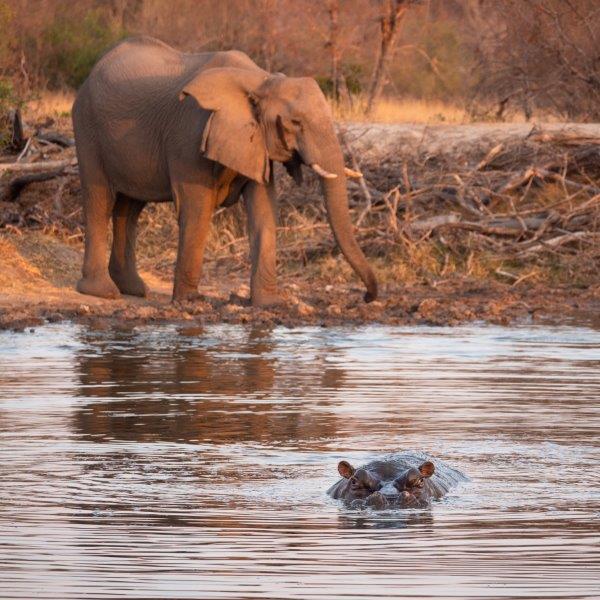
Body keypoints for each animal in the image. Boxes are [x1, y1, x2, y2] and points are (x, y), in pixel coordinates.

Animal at [72, 35, 378, 308]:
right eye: (295, 123)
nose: (365, 297)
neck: (260, 80)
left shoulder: (254, 142)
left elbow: (264, 209)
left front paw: (270, 304)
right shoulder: (190, 131)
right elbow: (196, 207)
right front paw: (192, 303)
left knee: (130, 207)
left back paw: (133, 290)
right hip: (87, 126)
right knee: (100, 199)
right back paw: (103, 292)